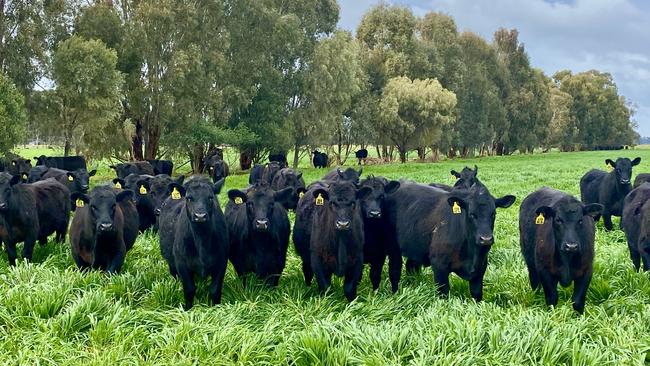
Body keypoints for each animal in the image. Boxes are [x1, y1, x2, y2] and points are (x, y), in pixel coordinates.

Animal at [157, 177, 228, 308]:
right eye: (189, 198)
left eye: (210, 197)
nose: (200, 216)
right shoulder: (182, 264)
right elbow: (189, 289)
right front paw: (188, 309)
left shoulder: (221, 262)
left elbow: (215, 290)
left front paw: (216, 309)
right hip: (170, 261)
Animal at [382, 182, 512, 298]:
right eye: (472, 214)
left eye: (493, 214)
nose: (486, 239)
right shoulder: (439, 266)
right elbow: (444, 293)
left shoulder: (480, 269)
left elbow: (477, 295)